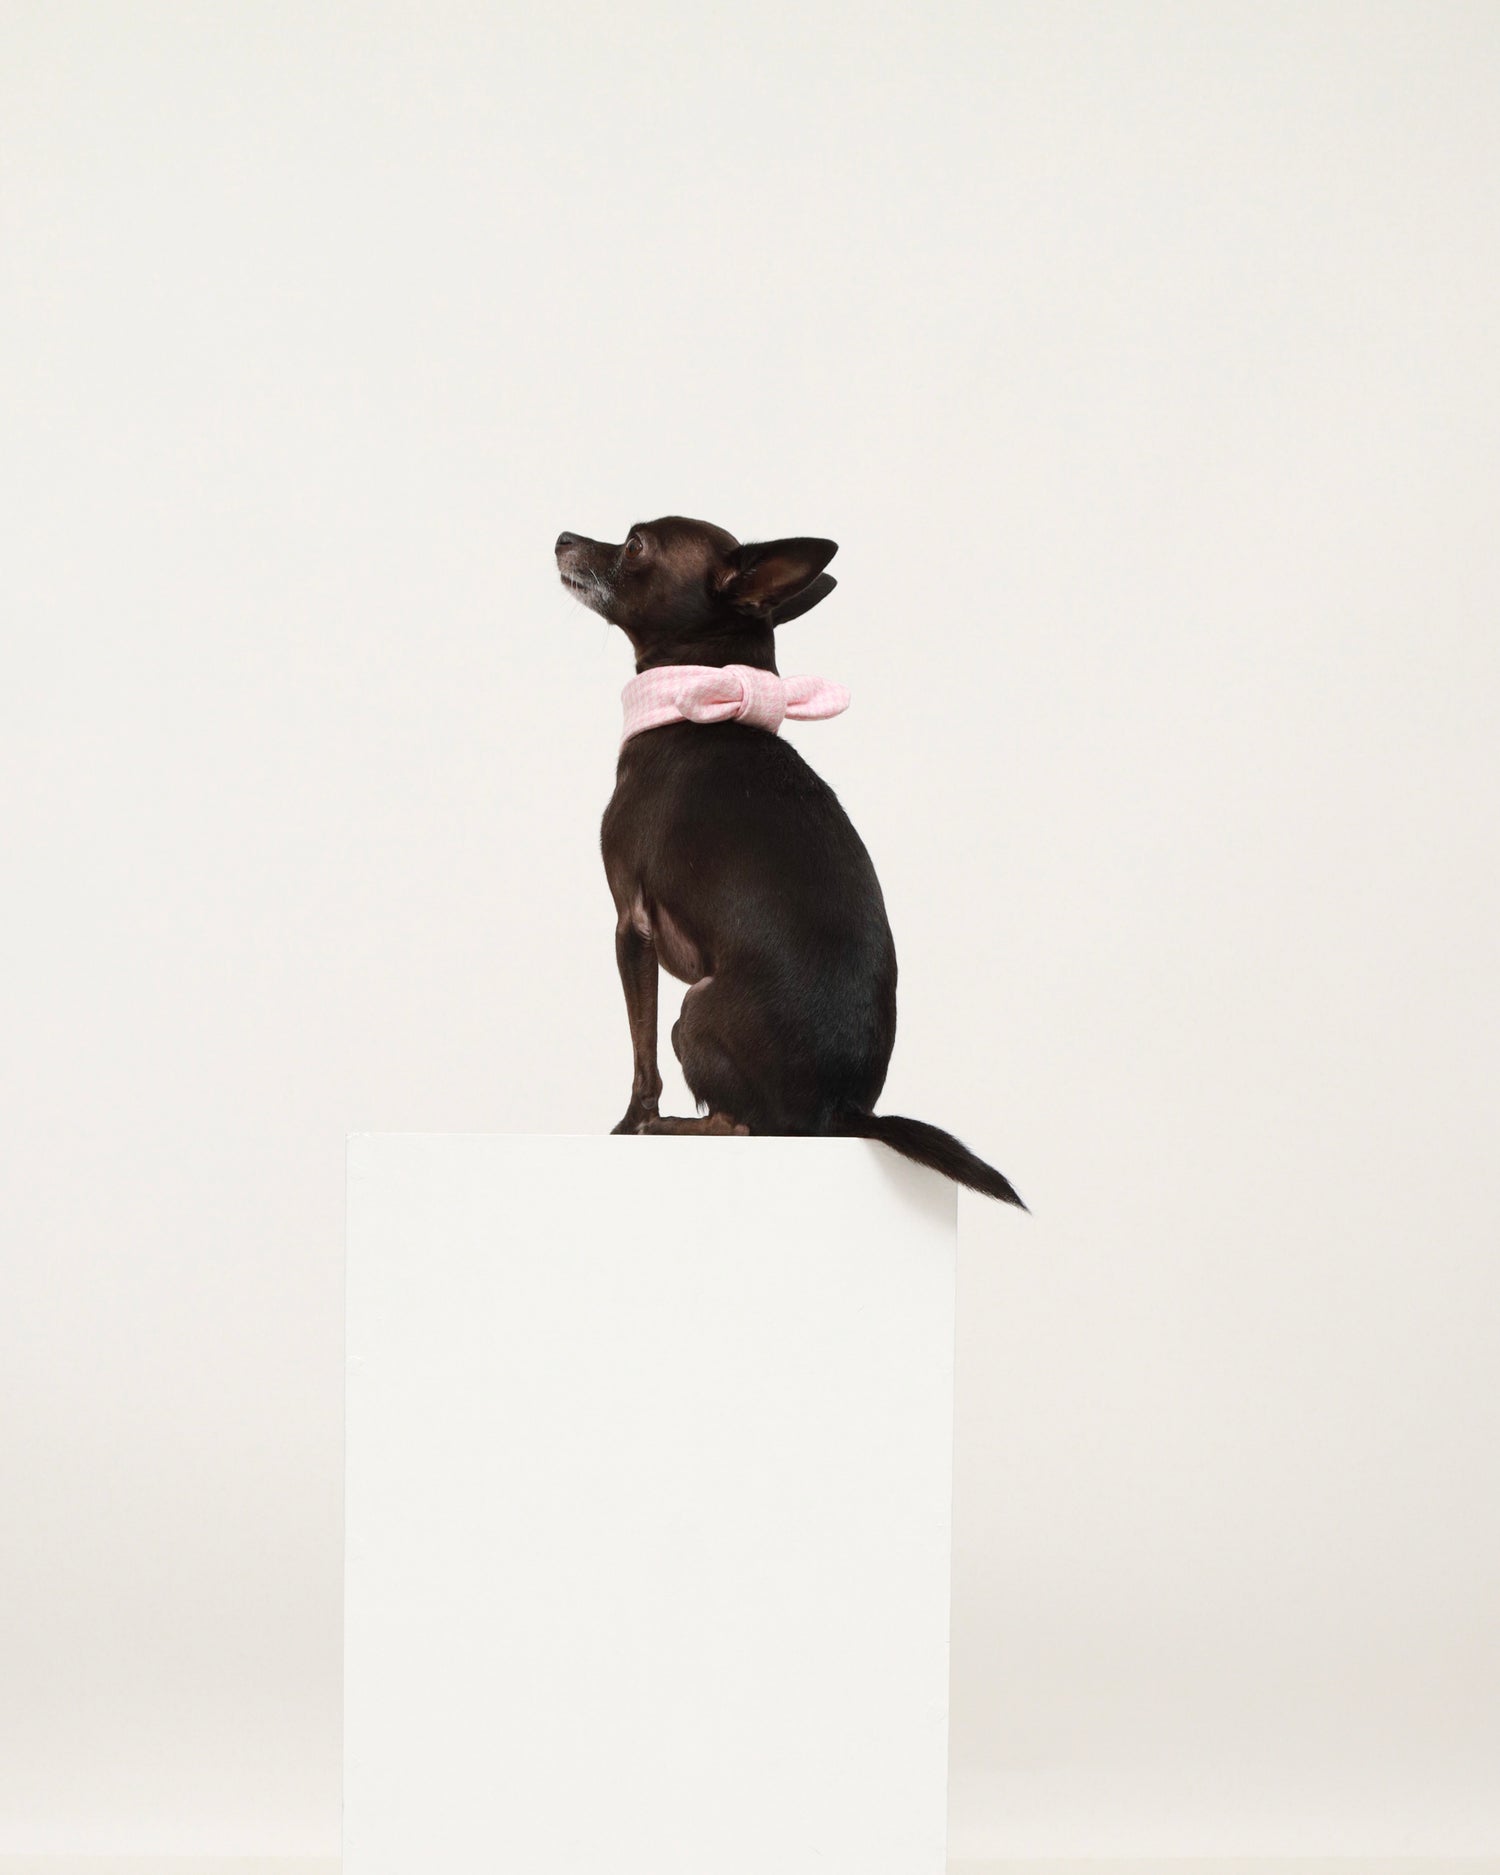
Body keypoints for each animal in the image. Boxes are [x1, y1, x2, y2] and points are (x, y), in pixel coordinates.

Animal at [556, 514, 1025, 1207]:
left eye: (635, 544)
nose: (563, 538)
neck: (699, 696)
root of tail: (845, 1110)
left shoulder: (630, 924)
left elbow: (641, 1053)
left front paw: (630, 1122)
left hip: (694, 1009)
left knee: (742, 1123)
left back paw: (672, 1127)